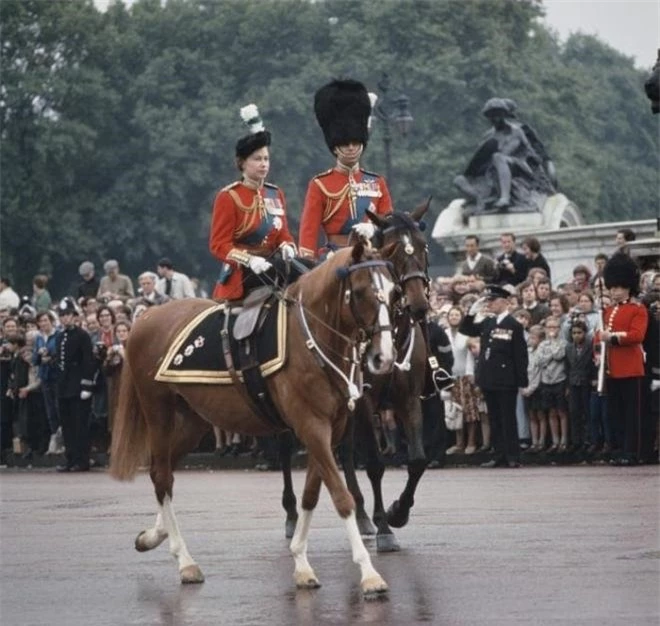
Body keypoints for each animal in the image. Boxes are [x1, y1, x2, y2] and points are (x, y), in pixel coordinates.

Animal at [111, 241, 398, 592]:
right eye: (359, 292)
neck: (312, 339)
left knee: (161, 472)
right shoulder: (312, 426)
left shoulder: (329, 429)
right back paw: (185, 561)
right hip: (159, 412)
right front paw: (369, 573)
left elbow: (311, 495)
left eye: (394, 291)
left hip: (193, 421)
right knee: (162, 477)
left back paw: (154, 535)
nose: (384, 357)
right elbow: (341, 497)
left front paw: (301, 562)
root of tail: (146, 316)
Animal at [278, 197, 438, 548]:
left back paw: (361, 517)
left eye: (424, 246)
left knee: (345, 453)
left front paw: (397, 512)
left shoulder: (408, 399)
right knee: (287, 448)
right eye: (394, 251)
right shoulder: (364, 401)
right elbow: (375, 464)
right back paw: (293, 515)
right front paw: (385, 526)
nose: (419, 304)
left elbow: (418, 459)